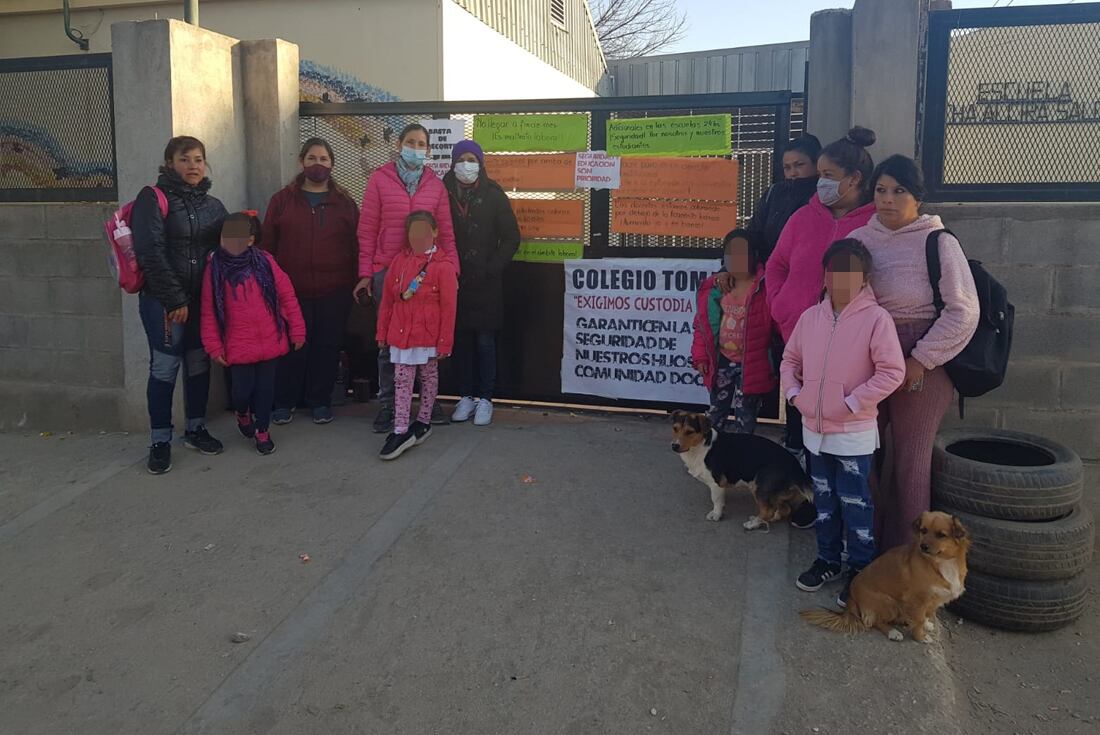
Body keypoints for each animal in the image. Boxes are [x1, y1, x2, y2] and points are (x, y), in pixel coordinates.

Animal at [800, 510, 972, 642]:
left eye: (941, 535)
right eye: (923, 530)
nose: (923, 546)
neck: (941, 562)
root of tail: (852, 600)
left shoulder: (933, 598)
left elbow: (927, 614)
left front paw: (927, 624)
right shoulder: (917, 599)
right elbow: (919, 619)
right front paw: (920, 636)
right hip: (889, 602)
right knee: (873, 622)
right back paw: (893, 632)